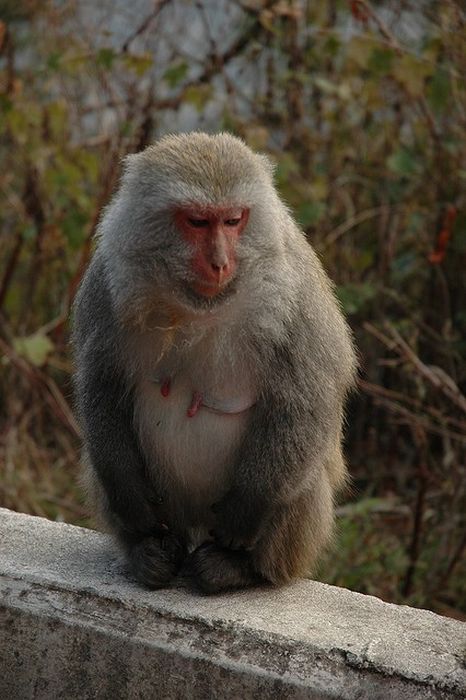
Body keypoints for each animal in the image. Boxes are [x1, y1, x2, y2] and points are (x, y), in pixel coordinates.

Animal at [72, 130, 356, 592]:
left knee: (301, 478)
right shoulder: (105, 283)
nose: (220, 262)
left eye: (234, 220)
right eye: (197, 222)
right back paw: (147, 553)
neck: (197, 305)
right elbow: (102, 383)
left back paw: (236, 569)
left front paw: (244, 514)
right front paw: (132, 506)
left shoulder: (295, 290)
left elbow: (304, 399)